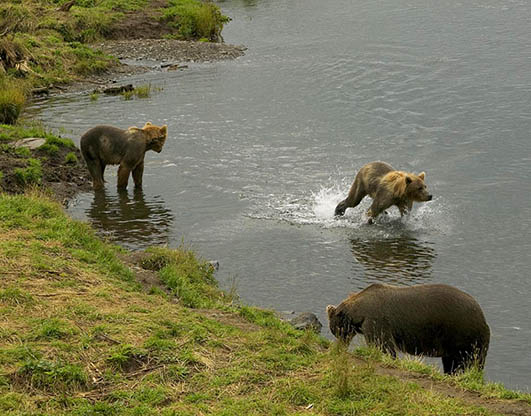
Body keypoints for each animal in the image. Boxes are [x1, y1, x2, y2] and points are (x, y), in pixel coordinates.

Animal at [326, 282, 492, 374]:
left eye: (337, 331)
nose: (340, 345)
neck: (359, 312)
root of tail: (483, 316)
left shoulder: (376, 321)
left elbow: (383, 346)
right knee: (453, 362)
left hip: (462, 333)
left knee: (466, 361)